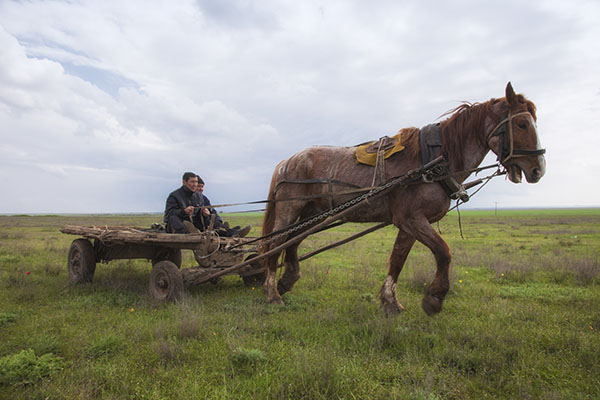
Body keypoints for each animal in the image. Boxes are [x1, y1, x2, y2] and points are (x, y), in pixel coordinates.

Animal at [260, 82, 548, 316]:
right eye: (521, 124)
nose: (538, 170)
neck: (433, 160)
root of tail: (288, 161)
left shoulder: (410, 223)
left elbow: (398, 258)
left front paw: (390, 302)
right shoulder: (411, 219)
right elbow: (443, 252)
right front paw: (434, 298)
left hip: (311, 212)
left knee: (294, 240)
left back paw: (288, 280)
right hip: (290, 208)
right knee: (277, 241)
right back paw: (272, 293)